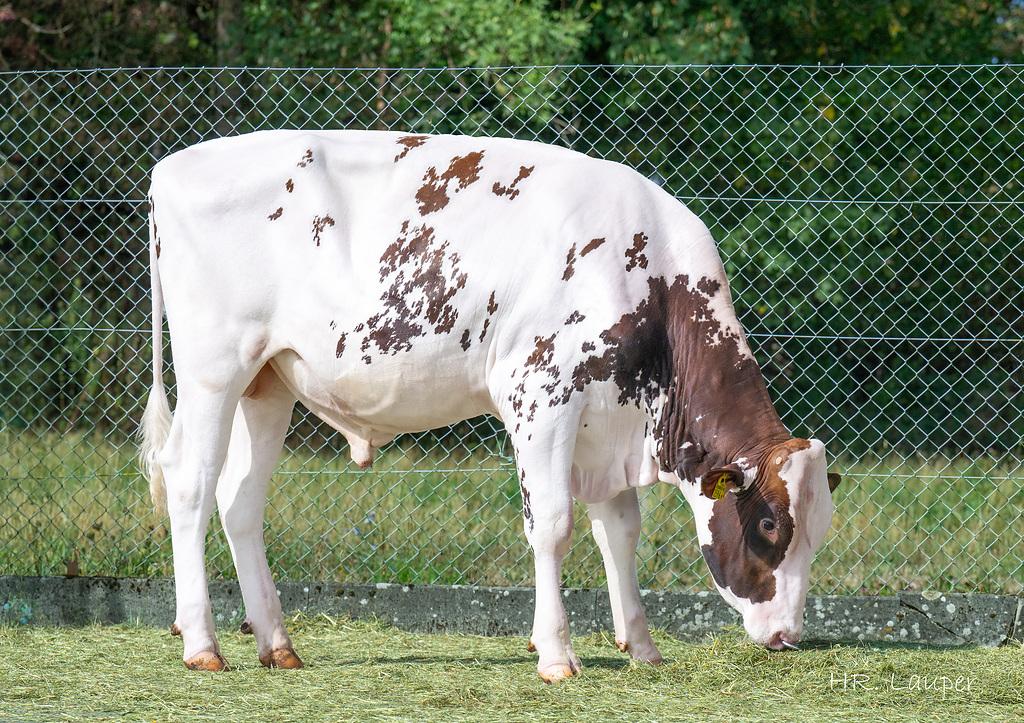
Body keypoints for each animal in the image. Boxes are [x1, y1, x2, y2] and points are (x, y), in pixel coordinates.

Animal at [139, 130, 840, 682]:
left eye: (819, 533)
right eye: (769, 525)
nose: (788, 637)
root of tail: (172, 166)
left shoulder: (610, 421)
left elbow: (619, 531)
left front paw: (641, 646)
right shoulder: (541, 396)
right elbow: (552, 525)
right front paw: (555, 654)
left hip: (268, 381)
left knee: (240, 501)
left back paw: (276, 644)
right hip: (213, 369)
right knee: (190, 482)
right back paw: (201, 644)